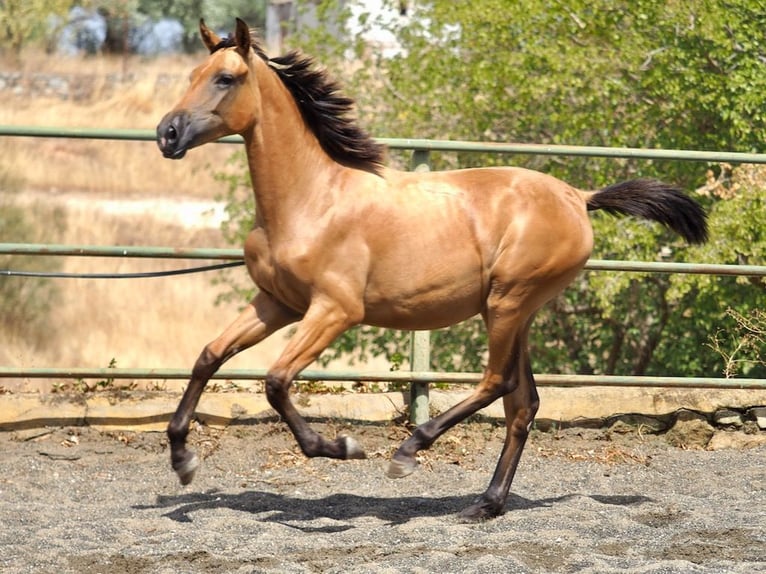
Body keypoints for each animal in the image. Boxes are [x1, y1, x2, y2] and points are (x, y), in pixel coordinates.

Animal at [156, 18, 708, 524]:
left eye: (226, 78)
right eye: (192, 74)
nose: (167, 133)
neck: (311, 199)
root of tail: (577, 196)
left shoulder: (334, 310)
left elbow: (275, 381)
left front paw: (340, 447)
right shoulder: (277, 304)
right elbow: (208, 357)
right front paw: (183, 460)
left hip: (507, 303)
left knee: (497, 383)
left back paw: (409, 453)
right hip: (515, 311)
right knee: (523, 403)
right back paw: (486, 504)